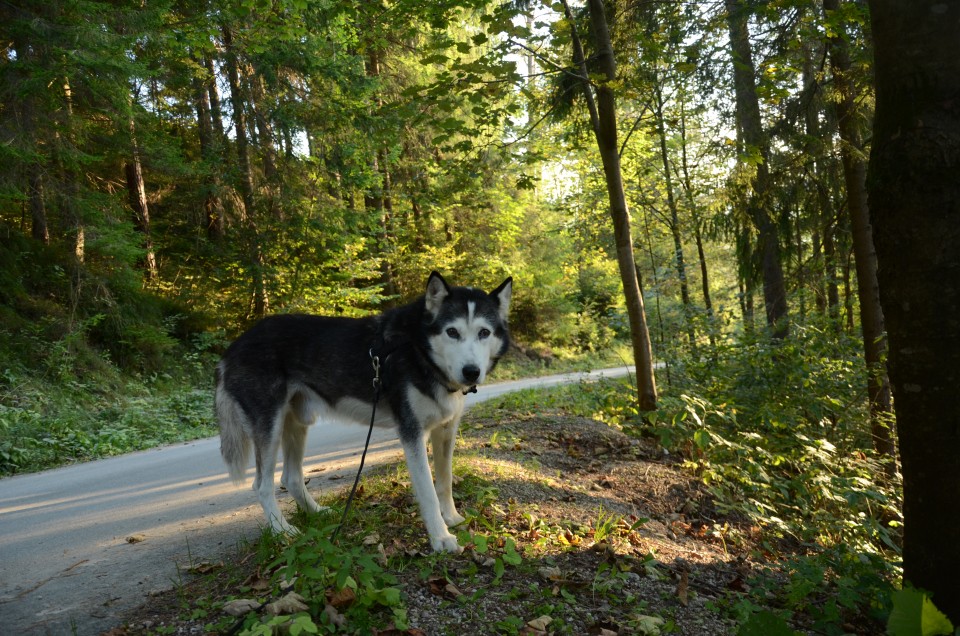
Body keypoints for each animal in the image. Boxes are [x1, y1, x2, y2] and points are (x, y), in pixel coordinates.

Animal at [215, 270, 512, 556]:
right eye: (452, 332)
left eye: (484, 333)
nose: (471, 371)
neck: (417, 347)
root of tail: (232, 349)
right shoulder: (412, 433)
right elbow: (427, 490)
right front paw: (440, 537)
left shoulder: (446, 430)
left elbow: (445, 480)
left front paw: (452, 518)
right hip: (270, 427)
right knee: (262, 485)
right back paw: (281, 531)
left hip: (296, 423)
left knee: (291, 477)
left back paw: (318, 514)